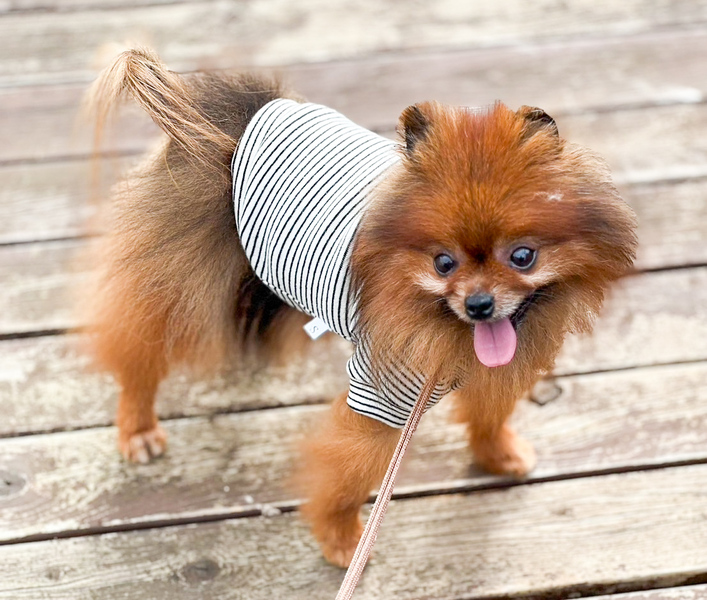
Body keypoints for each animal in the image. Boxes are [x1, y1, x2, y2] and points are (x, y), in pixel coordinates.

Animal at [83, 47, 637, 567]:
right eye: (443, 263)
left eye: (523, 256)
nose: (479, 304)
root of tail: (229, 130)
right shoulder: (383, 396)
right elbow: (350, 470)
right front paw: (341, 538)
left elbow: (489, 409)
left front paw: (496, 454)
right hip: (174, 285)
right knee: (137, 351)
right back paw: (138, 428)